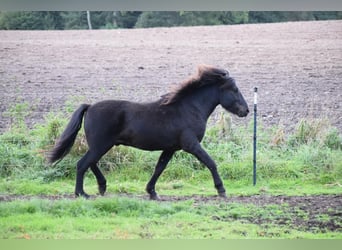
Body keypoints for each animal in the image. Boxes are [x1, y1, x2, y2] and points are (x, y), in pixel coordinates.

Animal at [48, 66, 248, 199]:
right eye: (234, 89)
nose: (246, 111)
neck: (189, 109)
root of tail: (89, 106)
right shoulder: (191, 145)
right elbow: (210, 162)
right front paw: (221, 190)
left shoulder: (171, 148)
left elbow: (159, 168)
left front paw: (152, 192)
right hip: (101, 145)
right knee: (83, 164)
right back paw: (82, 193)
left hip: (101, 146)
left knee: (91, 163)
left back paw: (102, 187)